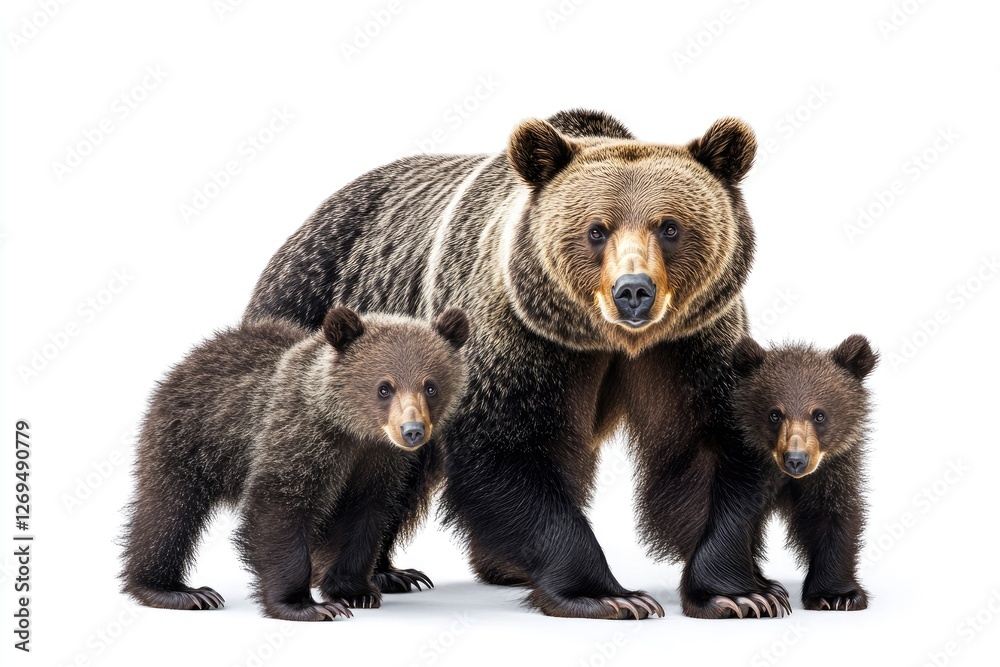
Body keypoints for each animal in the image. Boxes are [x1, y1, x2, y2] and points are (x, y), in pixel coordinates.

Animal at [120, 306, 469, 621]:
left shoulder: (378, 463)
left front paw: (355, 591)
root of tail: (195, 354)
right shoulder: (298, 439)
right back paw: (177, 591)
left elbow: (366, 517)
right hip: (189, 441)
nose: (412, 430)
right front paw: (307, 605)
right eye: (384, 387)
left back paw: (395, 575)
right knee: (168, 512)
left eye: (431, 386)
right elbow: (279, 510)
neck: (351, 431)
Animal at [243, 108, 786, 619]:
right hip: (326, 316)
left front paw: (742, 593)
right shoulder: (515, 334)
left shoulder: (688, 342)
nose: (633, 291)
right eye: (596, 230)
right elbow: (506, 449)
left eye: (670, 227)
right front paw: (610, 595)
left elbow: (705, 446)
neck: (608, 340)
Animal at [729, 334, 878, 614]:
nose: (796, 460)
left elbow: (832, 516)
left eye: (819, 414)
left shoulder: (830, 473)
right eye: (774, 414)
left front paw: (838, 596)